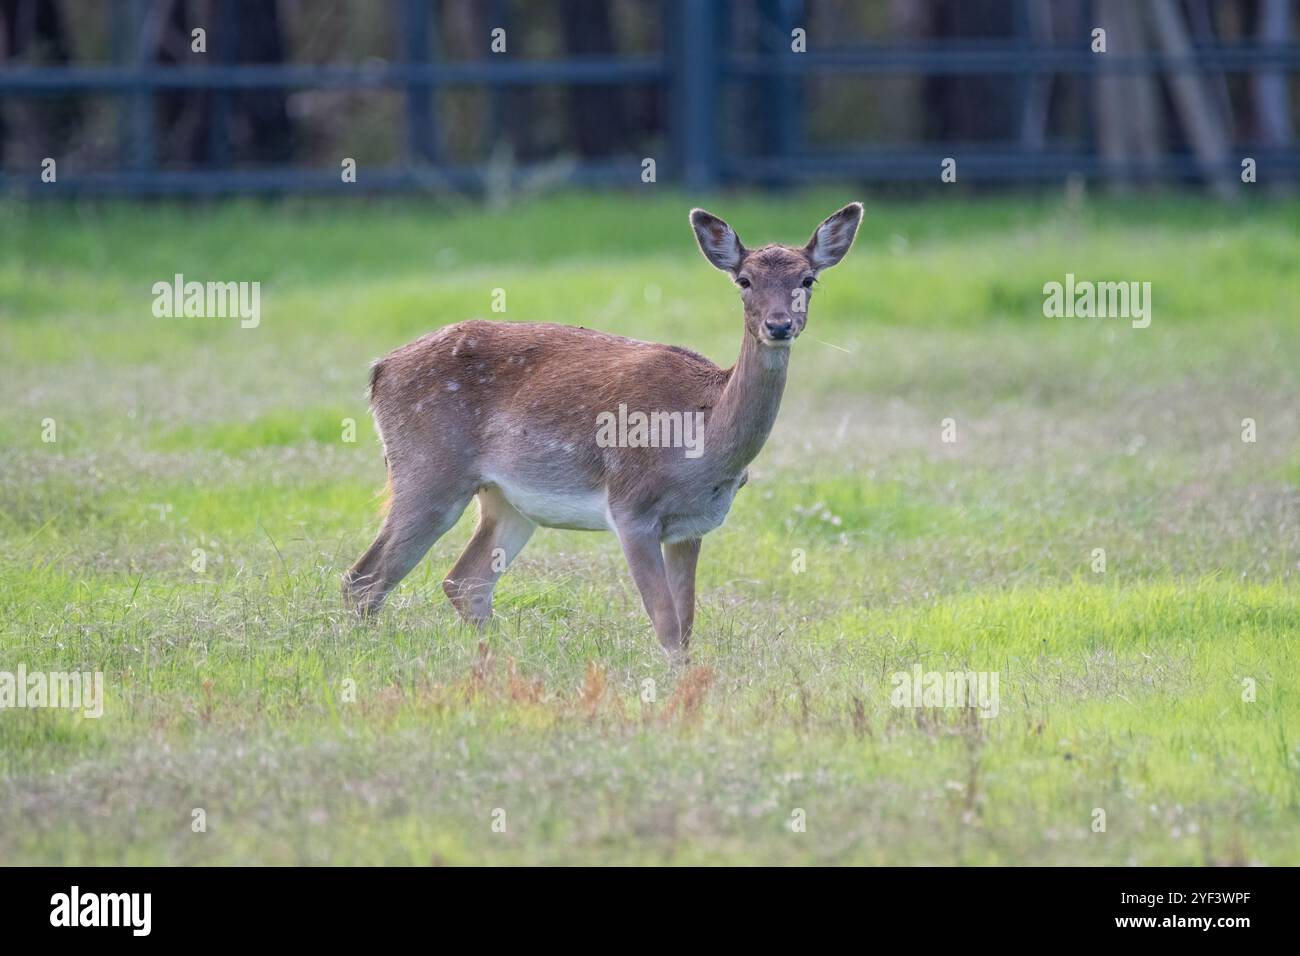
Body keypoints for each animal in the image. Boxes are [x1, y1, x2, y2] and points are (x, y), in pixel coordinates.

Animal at [345, 202, 863, 660]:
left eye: (808, 279)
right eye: (744, 280)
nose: (779, 325)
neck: (702, 441)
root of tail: (379, 371)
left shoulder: (692, 526)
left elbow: (687, 625)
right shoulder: (631, 506)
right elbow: (666, 624)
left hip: (507, 500)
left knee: (464, 581)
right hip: (428, 468)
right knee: (365, 577)